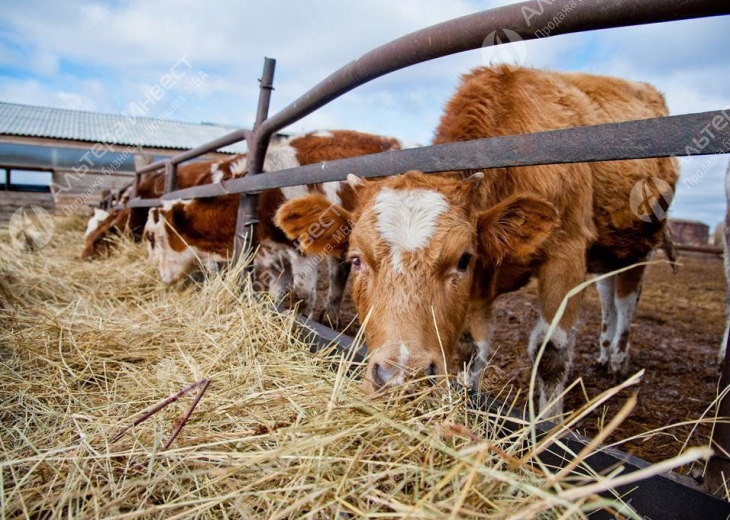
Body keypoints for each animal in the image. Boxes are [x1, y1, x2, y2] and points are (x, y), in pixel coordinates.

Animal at [145, 129, 400, 320]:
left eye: (155, 238)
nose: (161, 277)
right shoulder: (276, 256)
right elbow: (277, 295)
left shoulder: (303, 253)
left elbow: (302, 298)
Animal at [274, 67, 676, 416]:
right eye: (356, 259)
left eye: (463, 259)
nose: (402, 378)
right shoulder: (481, 286)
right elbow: (470, 348)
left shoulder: (566, 253)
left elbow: (551, 353)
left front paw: (547, 426)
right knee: (608, 294)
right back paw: (606, 353)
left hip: (637, 246)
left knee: (625, 297)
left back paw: (618, 358)